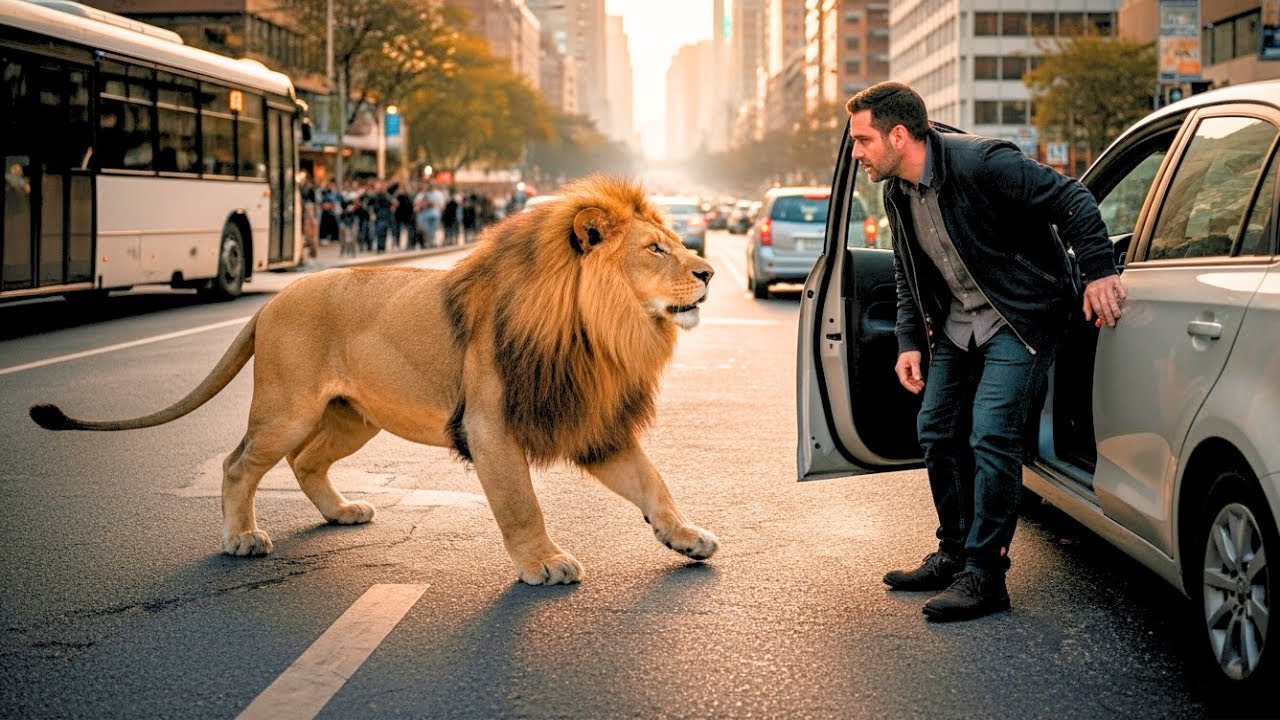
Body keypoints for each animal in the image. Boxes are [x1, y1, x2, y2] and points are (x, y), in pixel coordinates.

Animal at [29, 175, 719, 585]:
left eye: (677, 242)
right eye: (656, 249)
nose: (710, 271)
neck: (599, 332)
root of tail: (269, 301)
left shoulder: (591, 422)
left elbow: (654, 483)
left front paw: (685, 538)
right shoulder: (492, 427)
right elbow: (522, 505)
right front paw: (544, 563)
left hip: (351, 417)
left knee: (306, 462)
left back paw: (341, 512)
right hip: (288, 409)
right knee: (238, 463)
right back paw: (242, 538)